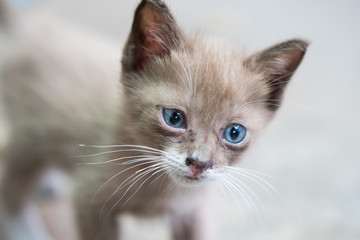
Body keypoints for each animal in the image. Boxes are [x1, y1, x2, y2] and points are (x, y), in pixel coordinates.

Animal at [0, 0, 306, 240]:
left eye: (234, 133)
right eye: (174, 118)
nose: (199, 164)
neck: (161, 185)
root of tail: (32, 24)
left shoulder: (193, 211)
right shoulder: (89, 201)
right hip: (29, 136)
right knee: (13, 185)